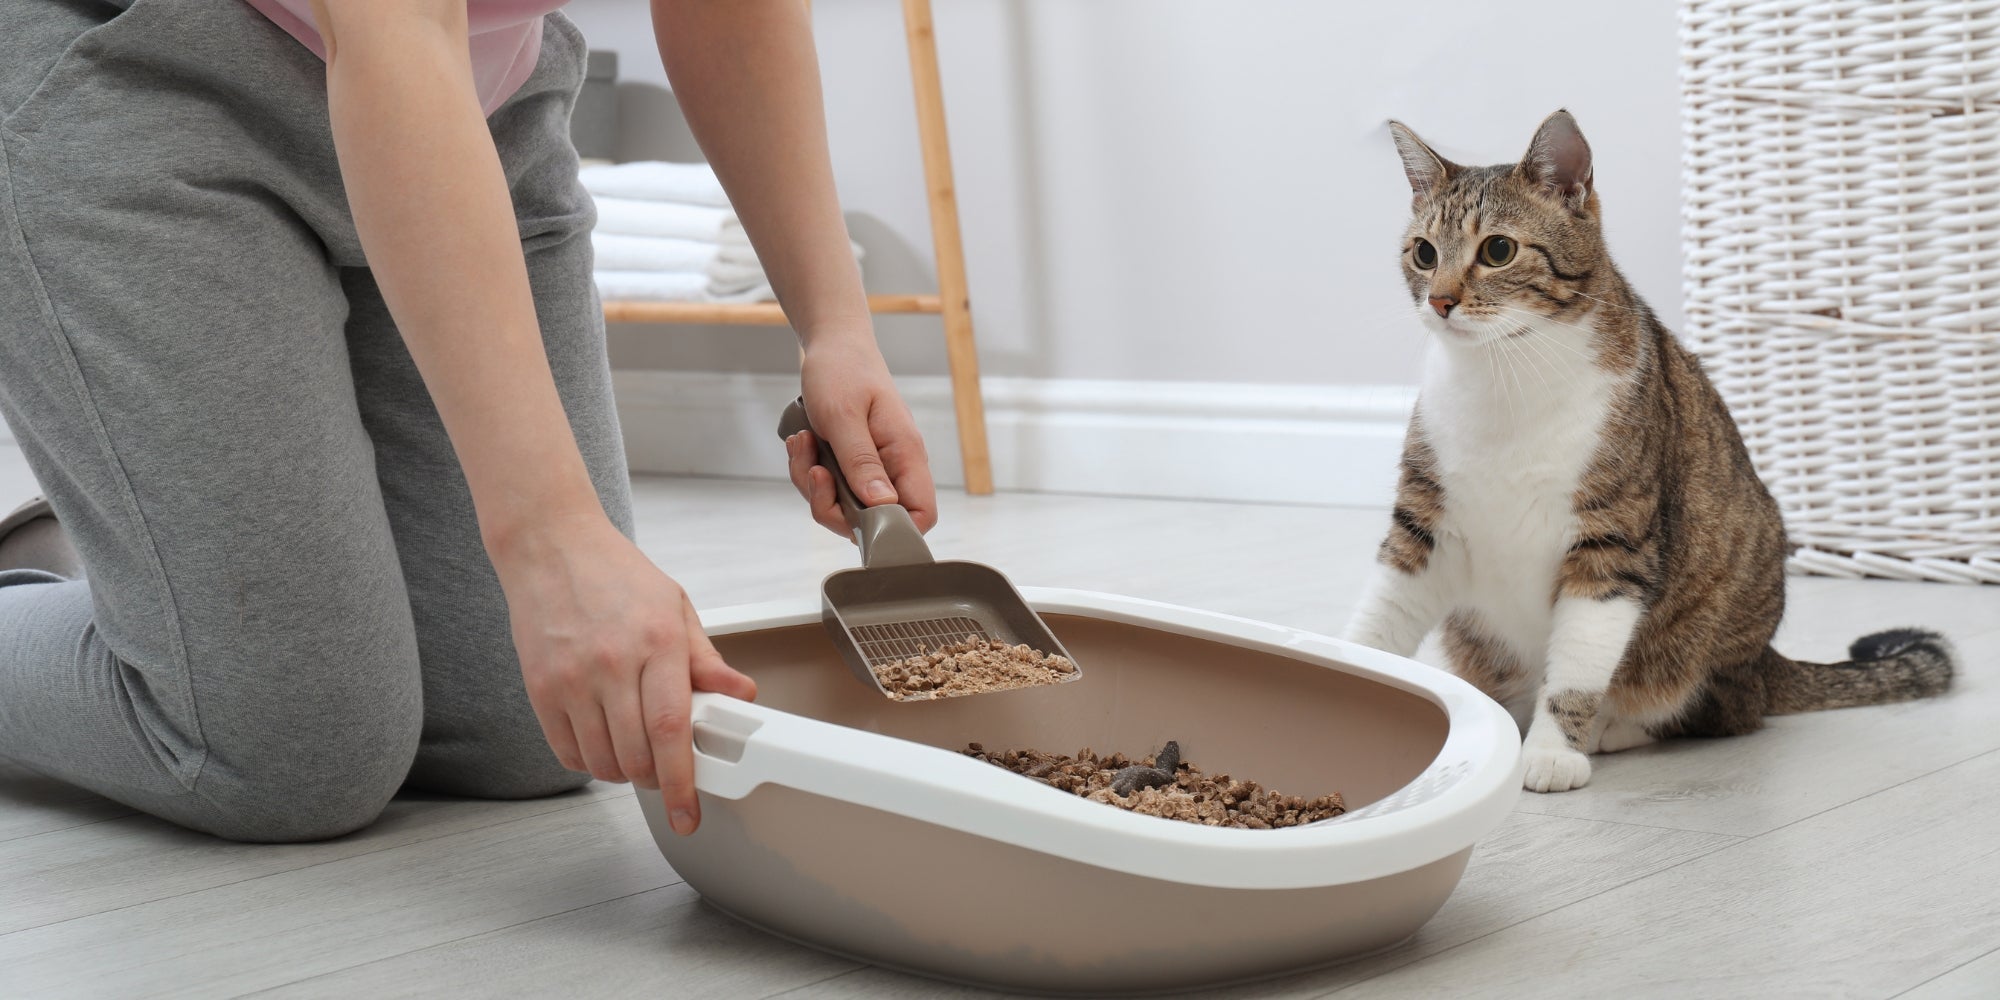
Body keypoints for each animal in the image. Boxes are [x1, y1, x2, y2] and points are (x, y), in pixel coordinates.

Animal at [1344, 109, 1952, 792]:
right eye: (1424, 253)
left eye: (1498, 250)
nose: (1441, 300)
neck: (1505, 379)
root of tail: (1767, 659)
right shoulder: (1422, 522)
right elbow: (1379, 617)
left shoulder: (1614, 539)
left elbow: (1579, 663)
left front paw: (1552, 751)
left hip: (1709, 632)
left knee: (1721, 709)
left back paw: (1611, 729)